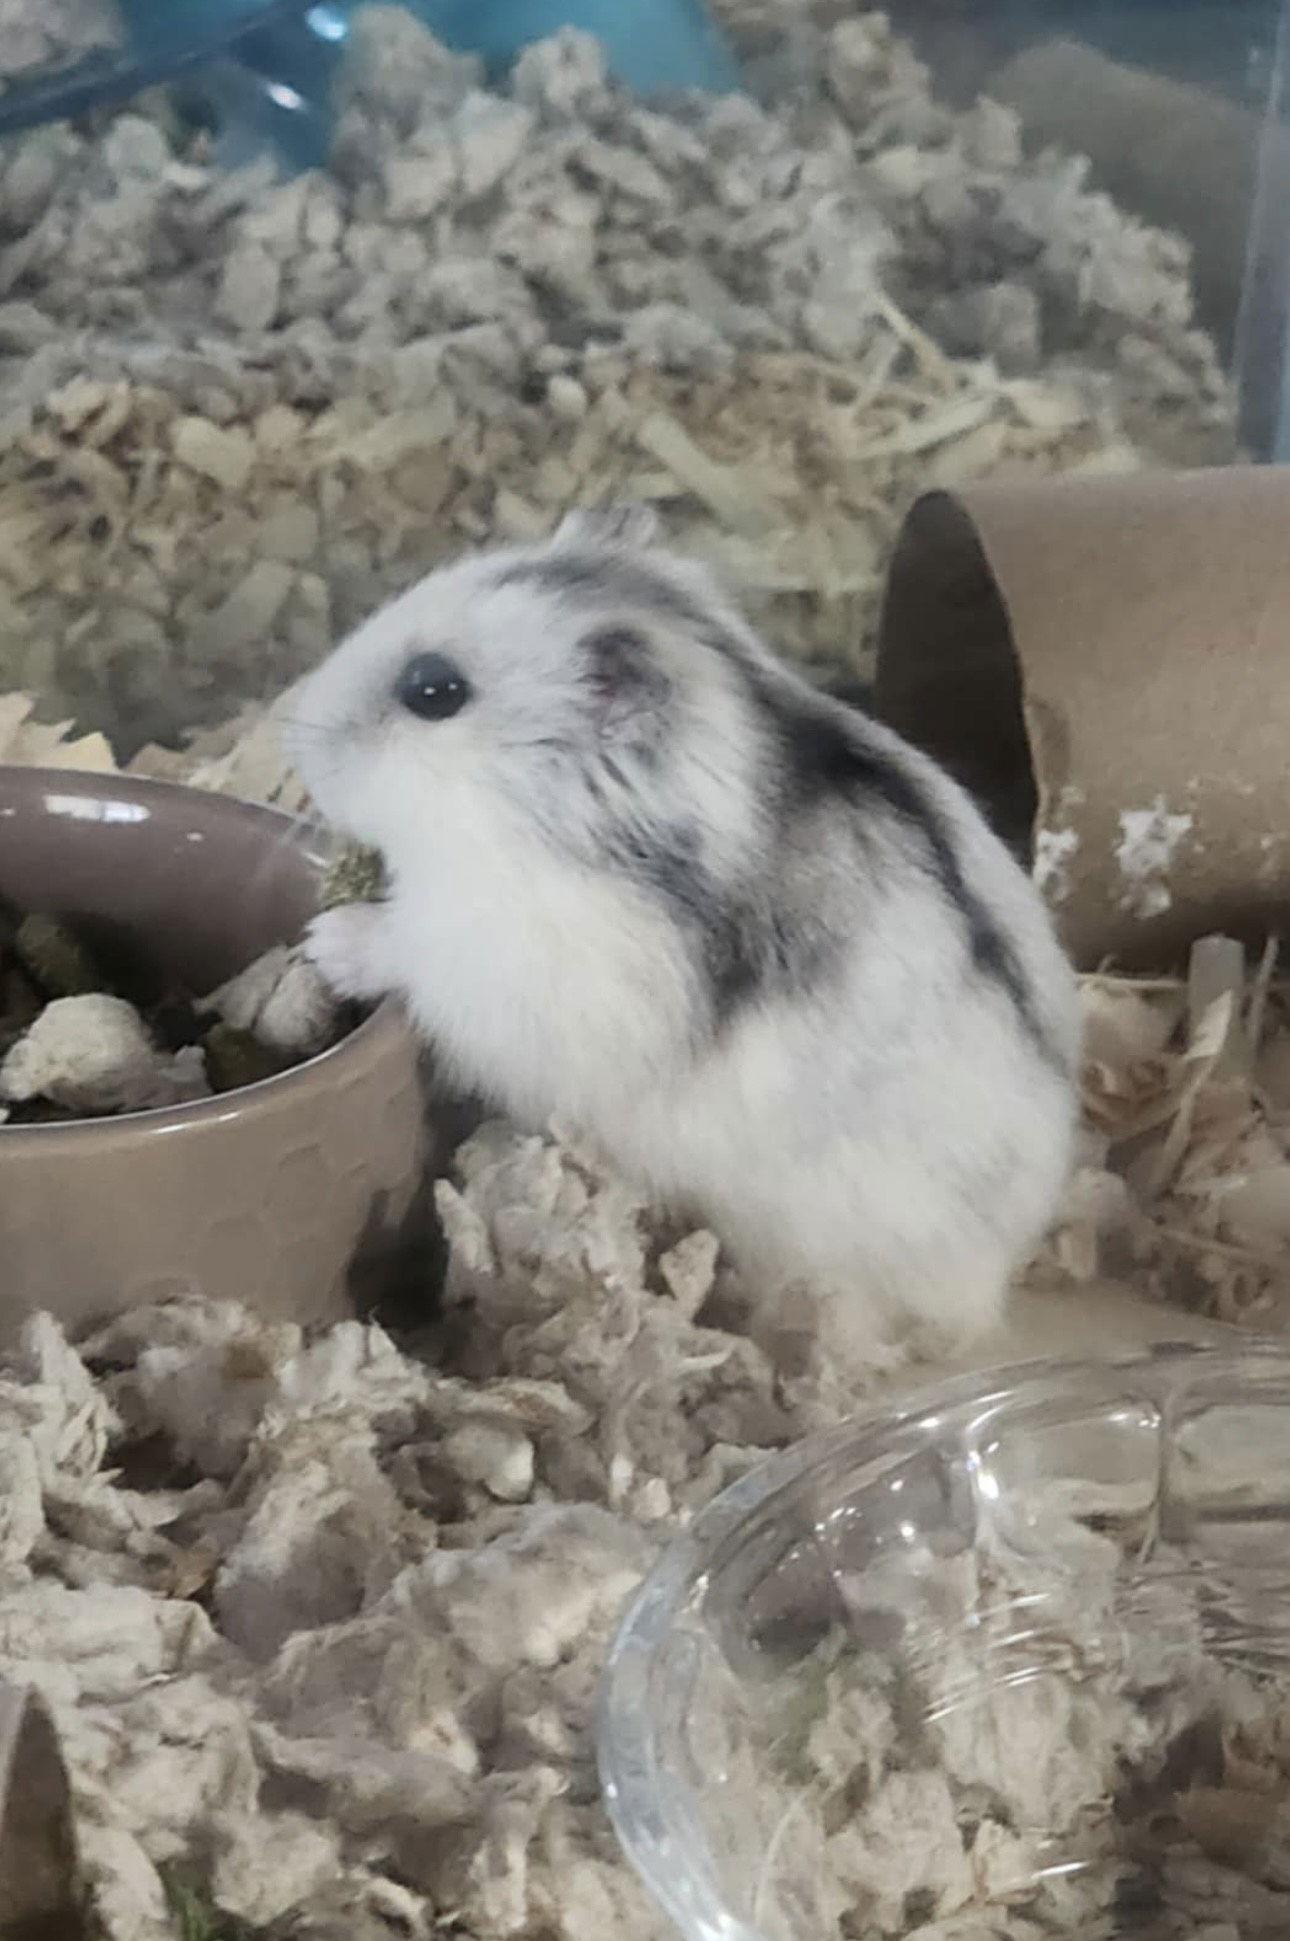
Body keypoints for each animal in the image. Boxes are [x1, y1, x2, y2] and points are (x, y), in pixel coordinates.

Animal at [284, 506, 1079, 1369]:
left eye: (435, 691)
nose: (295, 736)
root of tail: (1002, 1268)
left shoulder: (519, 955)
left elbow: (412, 948)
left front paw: (326, 936)